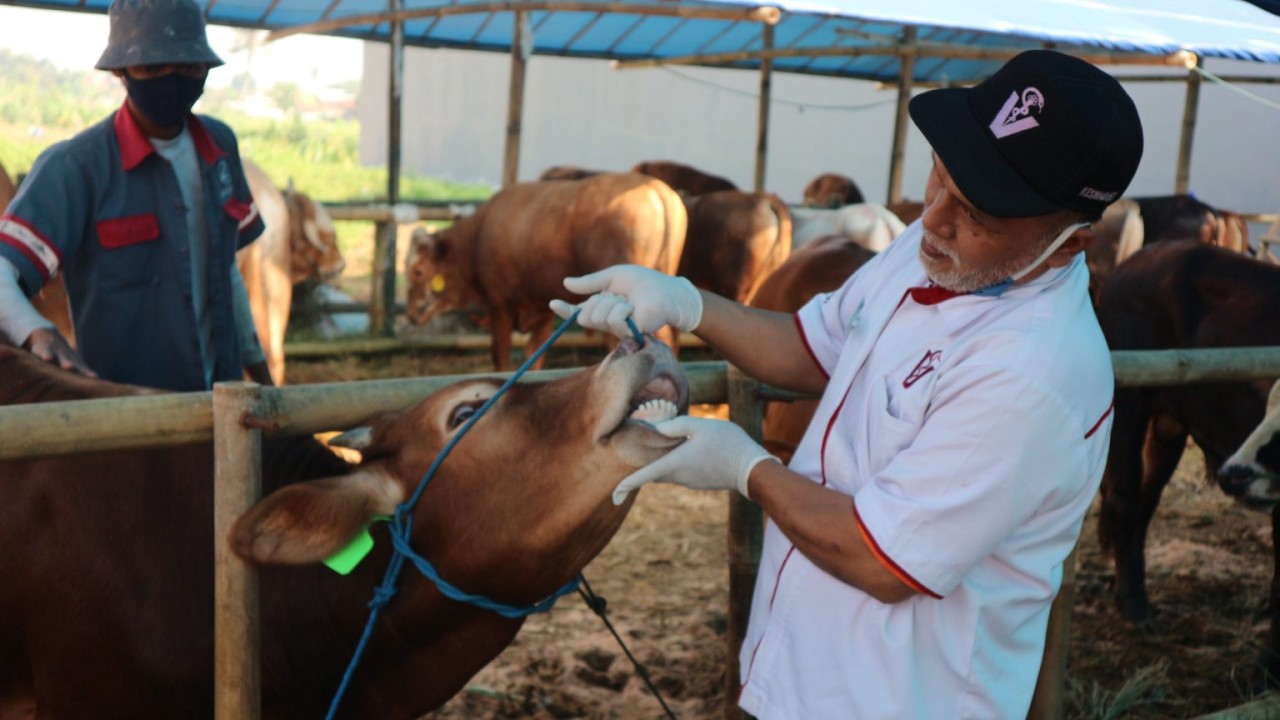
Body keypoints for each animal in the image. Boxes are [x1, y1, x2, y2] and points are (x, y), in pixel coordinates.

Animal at [407, 170, 691, 366]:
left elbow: (501, 359)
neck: (478, 238)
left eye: (418, 271)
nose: (410, 314)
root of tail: (656, 189)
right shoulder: (543, 311)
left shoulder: (500, 308)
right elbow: (534, 358)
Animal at [1095, 239, 1280, 681]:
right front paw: (1267, 667)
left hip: (1170, 426)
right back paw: (1135, 607)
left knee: (1144, 504)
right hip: (1129, 407)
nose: (1234, 474)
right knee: (1124, 502)